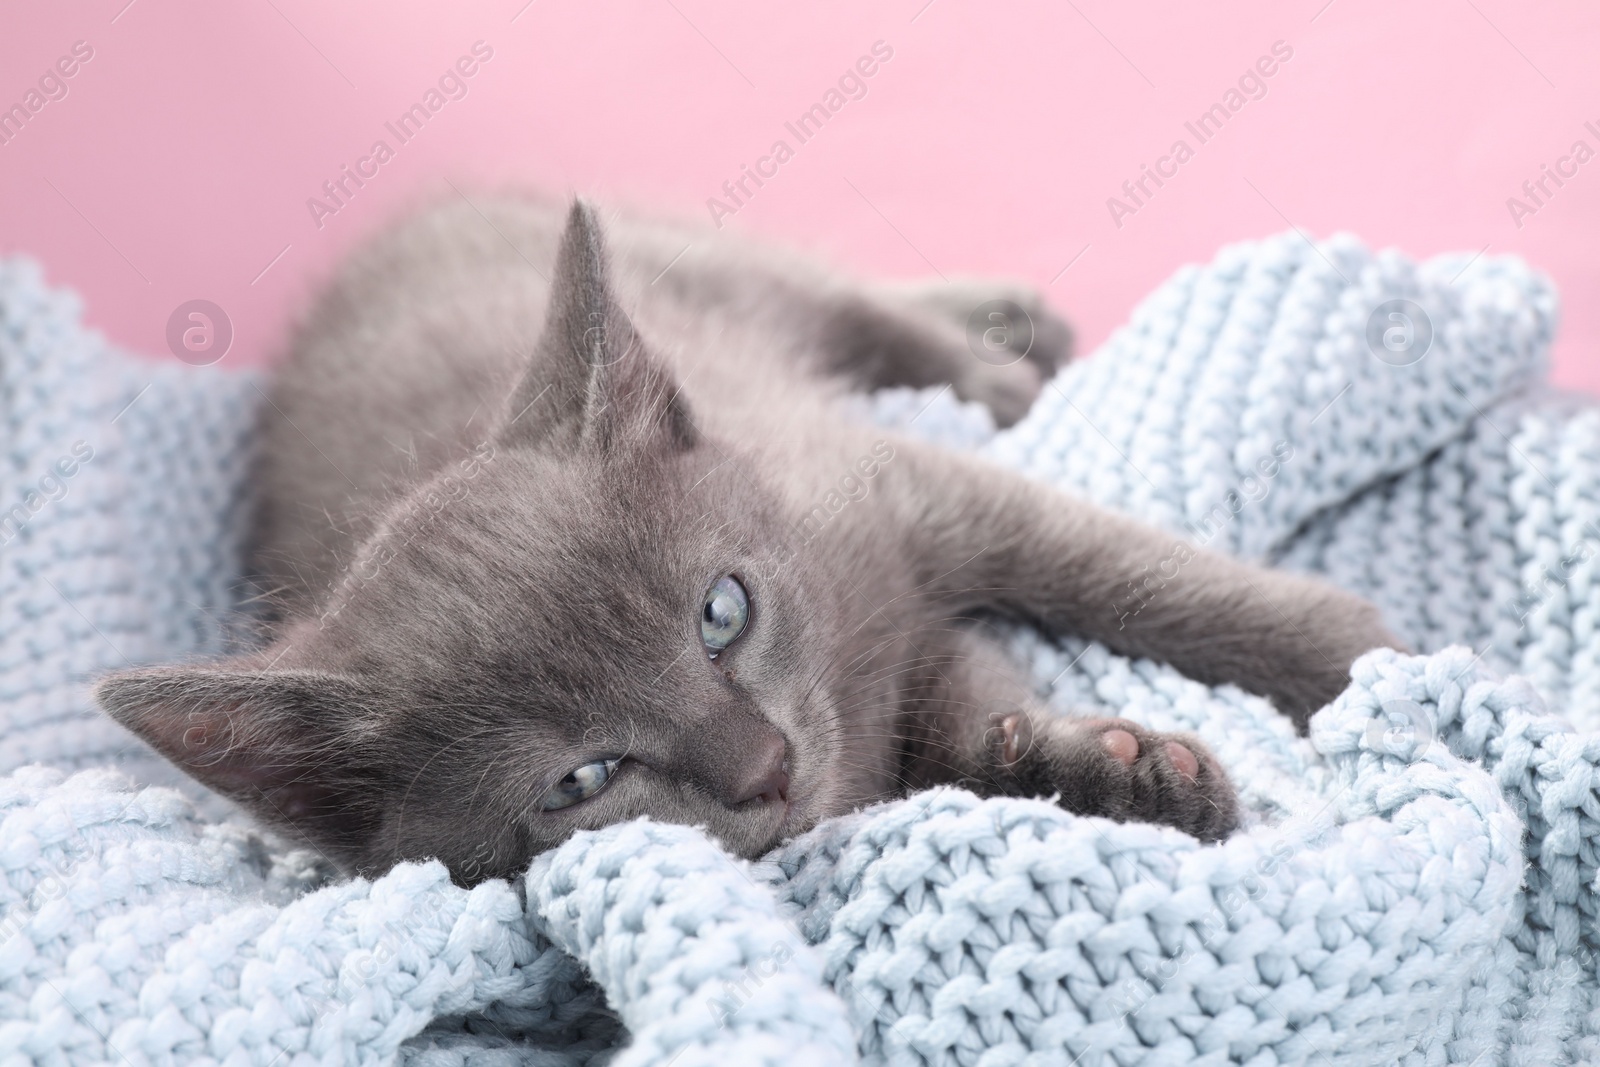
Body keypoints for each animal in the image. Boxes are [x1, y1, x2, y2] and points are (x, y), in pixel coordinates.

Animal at [100, 191, 1401, 883]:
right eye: (583, 779)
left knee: (848, 301)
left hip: (700, 260)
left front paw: (1361, 655)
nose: (764, 763)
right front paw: (1091, 769)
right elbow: (955, 714)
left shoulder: (894, 487)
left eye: (720, 613)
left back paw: (995, 343)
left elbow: (1118, 570)